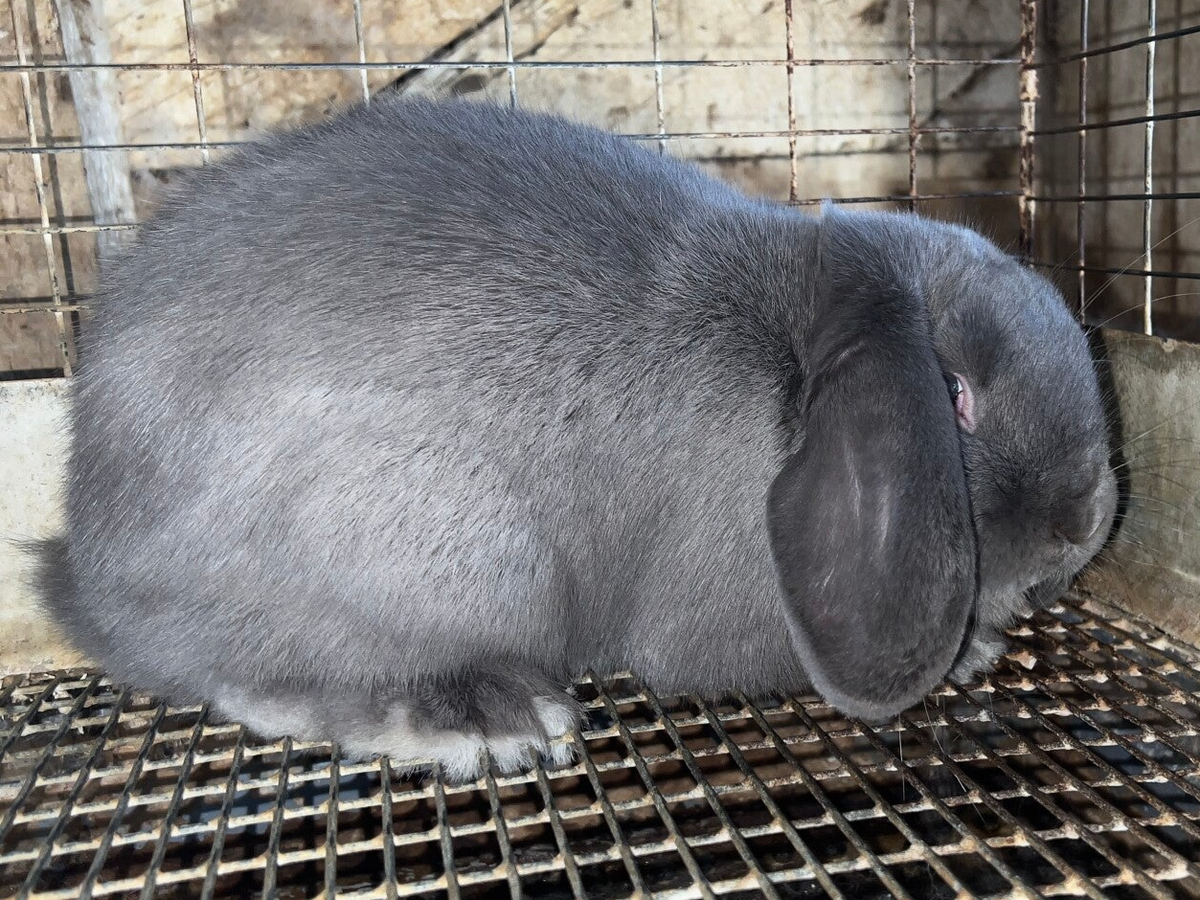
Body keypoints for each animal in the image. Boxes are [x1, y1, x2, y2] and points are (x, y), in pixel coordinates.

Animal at [35, 97, 1117, 781]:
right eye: (955, 394)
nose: (1084, 519)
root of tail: (91, 573)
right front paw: (976, 645)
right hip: (455, 564)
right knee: (258, 680)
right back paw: (489, 719)